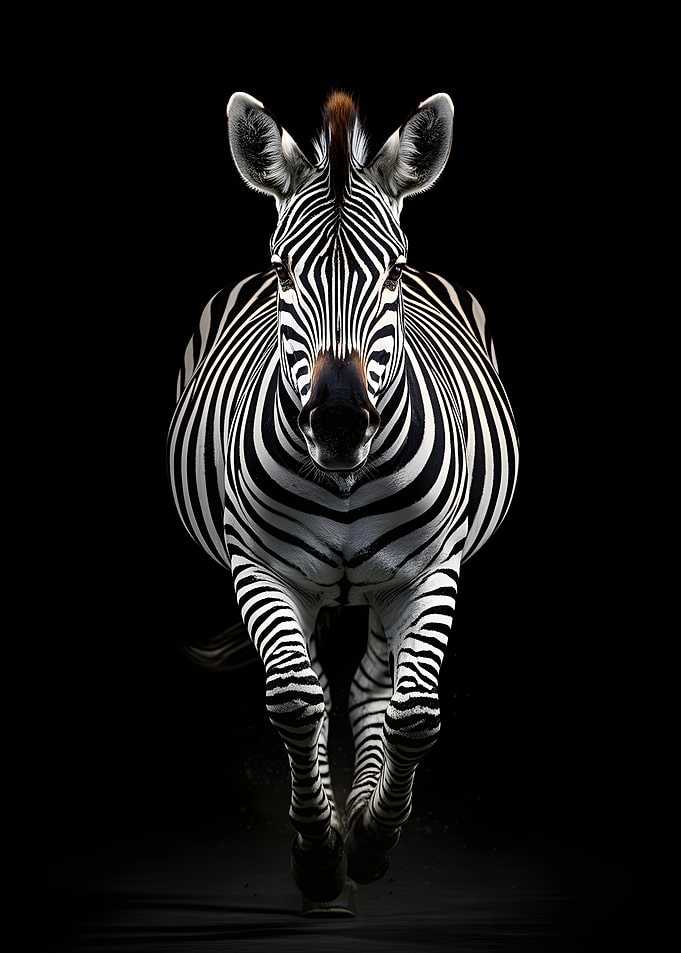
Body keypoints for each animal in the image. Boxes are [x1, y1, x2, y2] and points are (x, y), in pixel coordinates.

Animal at [167, 89, 519, 907]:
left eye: (393, 272)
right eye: (282, 273)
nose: (335, 424)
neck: (346, 479)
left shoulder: (431, 569)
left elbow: (412, 714)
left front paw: (367, 841)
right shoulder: (261, 567)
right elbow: (298, 700)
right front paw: (319, 856)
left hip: (386, 587)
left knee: (369, 687)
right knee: (325, 690)